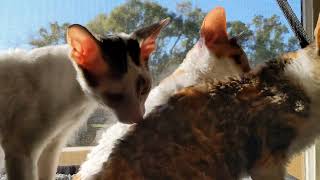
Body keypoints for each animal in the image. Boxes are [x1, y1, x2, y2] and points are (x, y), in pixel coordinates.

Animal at [0, 18, 170, 180]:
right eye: (114, 95)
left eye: (144, 89)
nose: (138, 118)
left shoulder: (53, 144)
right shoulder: (19, 149)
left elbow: (47, 172)